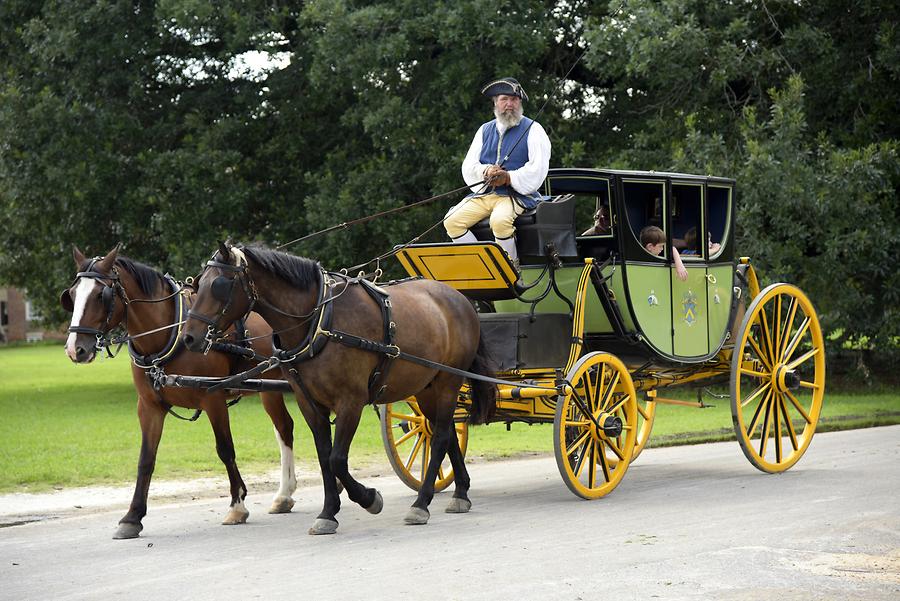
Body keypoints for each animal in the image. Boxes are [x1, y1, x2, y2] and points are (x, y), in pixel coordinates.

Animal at [60, 244, 298, 540]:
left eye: (99, 295)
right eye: (71, 295)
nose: (75, 349)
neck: (170, 333)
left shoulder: (213, 398)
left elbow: (225, 449)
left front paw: (237, 505)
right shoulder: (149, 406)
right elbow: (146, 459)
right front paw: (132, 517)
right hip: (270, 390)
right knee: (284, 428)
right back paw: (284, 495)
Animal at [179, 241, 496, 532]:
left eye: (220, 285)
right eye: (198, 284)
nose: (189, 338)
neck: (320, 322)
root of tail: (459, 298)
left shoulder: (350, 401)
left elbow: (337, 459)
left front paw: (369, 498)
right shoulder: (309, 403)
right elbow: (324, 458)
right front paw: (328, 512)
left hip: (448, 382)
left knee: (441, 436)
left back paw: (421, 503)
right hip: (425, 387)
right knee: (445, 433)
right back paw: (461, 492)